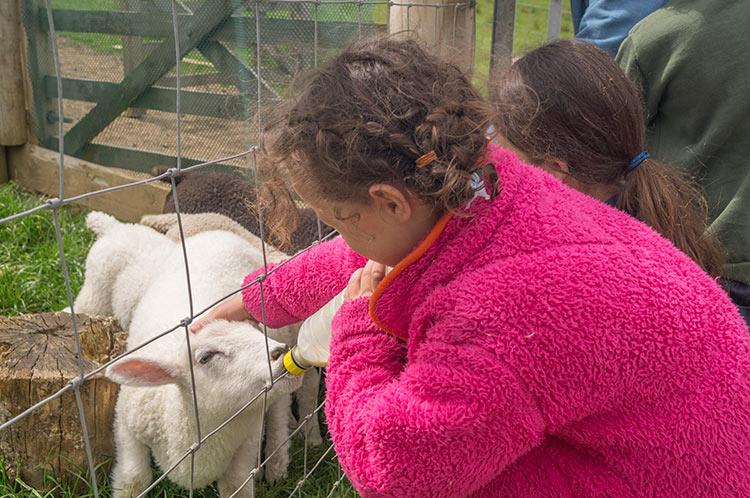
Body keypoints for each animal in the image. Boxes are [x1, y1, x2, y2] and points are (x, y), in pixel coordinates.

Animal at [74, 213, 302, 498]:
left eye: (255, 330)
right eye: (206, 357)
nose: (279, 353)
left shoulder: (246, 443)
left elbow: (235, 485)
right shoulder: (126, 425)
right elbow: (134, 479)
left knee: (279, 412)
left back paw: (276, 463)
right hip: (94, 297)